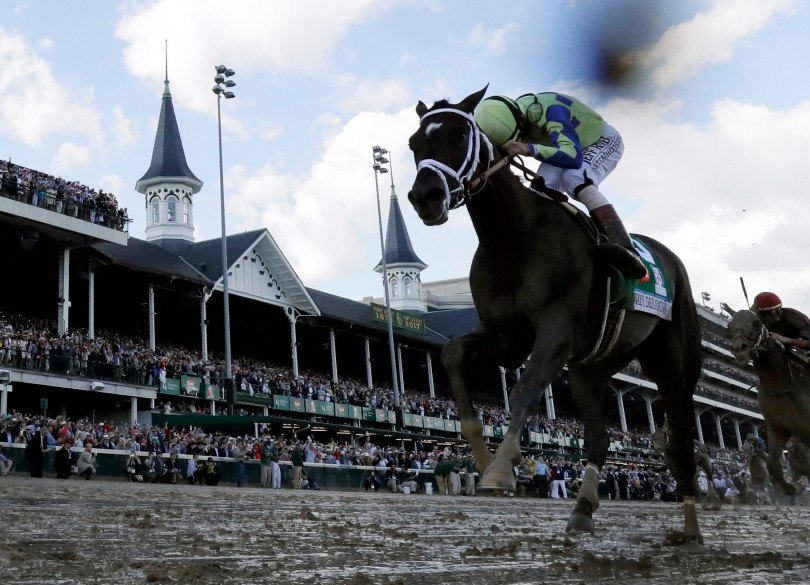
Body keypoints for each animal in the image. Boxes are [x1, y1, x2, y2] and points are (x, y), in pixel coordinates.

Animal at [408, 88, 704, 544]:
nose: (425, 196)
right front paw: (482, 456)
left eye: (459, 136)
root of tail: (669, 259)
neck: (514, 239)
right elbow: (452, 354)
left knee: (682, 439)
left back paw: (690, 529)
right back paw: (583, 509)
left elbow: (525, 387)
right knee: (599, 436)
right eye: (413, 144)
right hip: (592, 367)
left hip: (674, 365)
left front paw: (500, 468)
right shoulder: (506, 336)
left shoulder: (556, 332)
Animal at [724, 308, 808, 496]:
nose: (739, 348)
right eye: (729, 326)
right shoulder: (778, 428)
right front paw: (789, 488)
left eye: (756, 324)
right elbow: (772, 464)